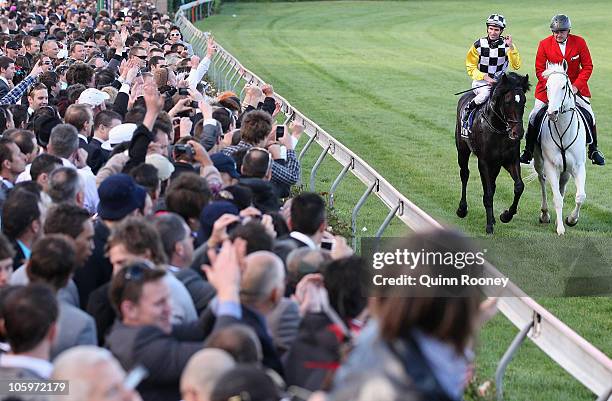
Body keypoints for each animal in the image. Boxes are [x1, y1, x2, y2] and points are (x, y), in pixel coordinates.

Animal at [536, 62, 584, 234]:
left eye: (564, 86)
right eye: (547, 86)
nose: (552, 113)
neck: (563, 132)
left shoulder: (578, 166)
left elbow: (580, 196)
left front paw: (571, 220)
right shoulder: (550, 166)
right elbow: (556, 198)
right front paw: (561, 229)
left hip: (566, 171)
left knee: (562, 185)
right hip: (539, 163)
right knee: (542, 181)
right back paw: (545, 215)